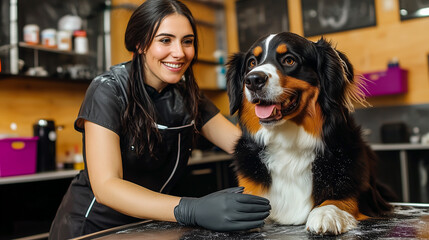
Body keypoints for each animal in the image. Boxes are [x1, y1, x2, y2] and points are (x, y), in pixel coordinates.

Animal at [226, 31, 392, 234]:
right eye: (251, 63)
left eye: (289, 60)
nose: (253, 80)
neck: (289, 144)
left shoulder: (361, 189)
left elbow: (342, 198)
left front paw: (326, 213)